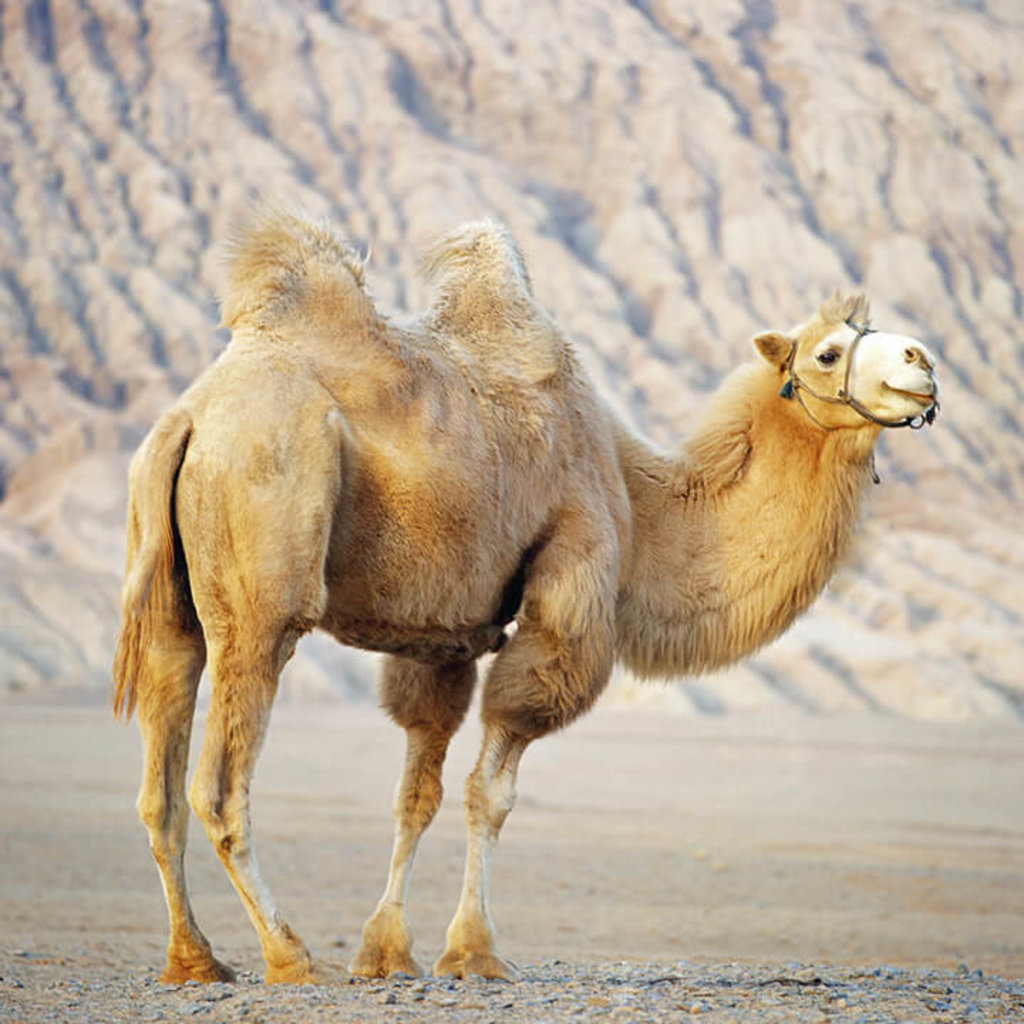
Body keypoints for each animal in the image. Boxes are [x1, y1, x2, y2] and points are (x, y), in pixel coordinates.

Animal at [110, 205, 937, 983]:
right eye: (828, 351)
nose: (922, 362)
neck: (639, 496)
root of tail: (188, 419)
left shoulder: (440, 632)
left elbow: (417, 790)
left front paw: (387, 953)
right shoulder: (571, 578)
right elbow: (492, 789)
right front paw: (474, 952)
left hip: (171, 597)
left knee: (160, 783)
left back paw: (196, 960)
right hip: (263, 572)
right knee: (220, 784)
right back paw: (289, 957)